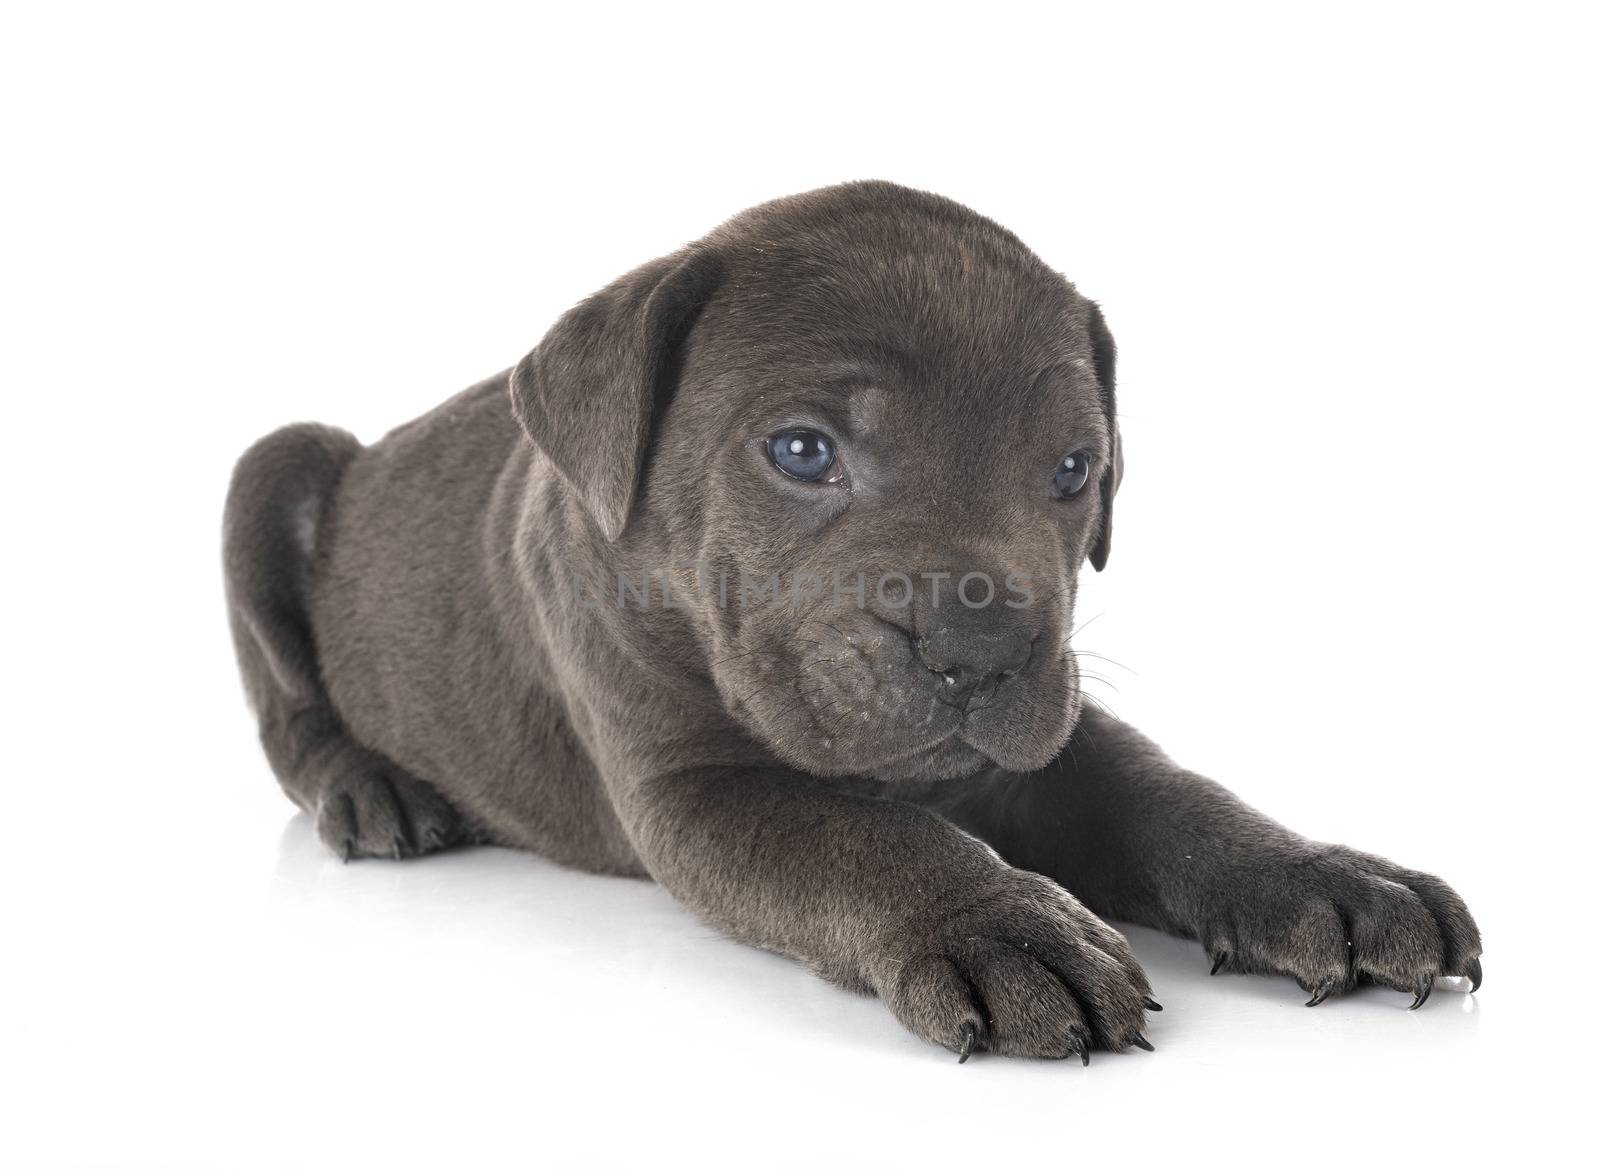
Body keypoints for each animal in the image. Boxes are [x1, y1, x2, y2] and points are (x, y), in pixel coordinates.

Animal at [222, 180, 1472, 1062]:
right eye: (800, 450)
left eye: (1073, 470)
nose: (981, 648)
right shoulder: (696, 789)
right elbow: (862, 836)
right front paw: (997, 924)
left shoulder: (1046, 740)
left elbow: (1168, 794)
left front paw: (1322, 874)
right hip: (272, 468)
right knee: (288, 714)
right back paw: (370, 790)